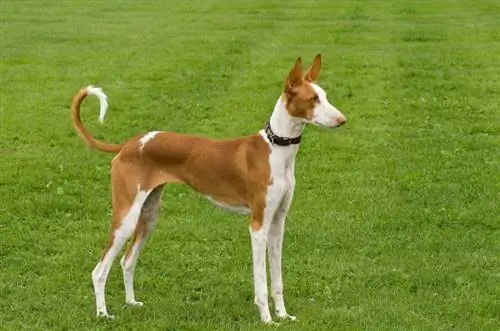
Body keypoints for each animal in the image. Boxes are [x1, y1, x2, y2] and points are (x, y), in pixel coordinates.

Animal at [71, 53, 344, 324]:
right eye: (313, 99)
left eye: (325, 96)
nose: (343, 120)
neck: (276, 150)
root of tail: (128, 144)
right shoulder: (258, 226)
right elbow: (261, 282)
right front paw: (267, 319)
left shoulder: (277, 223)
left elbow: (277, 280)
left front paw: (283, 315)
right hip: (126, 217)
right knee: (99, 270)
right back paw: (103, 313)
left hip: (148, 215)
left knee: (127, 261)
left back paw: (131, 302)